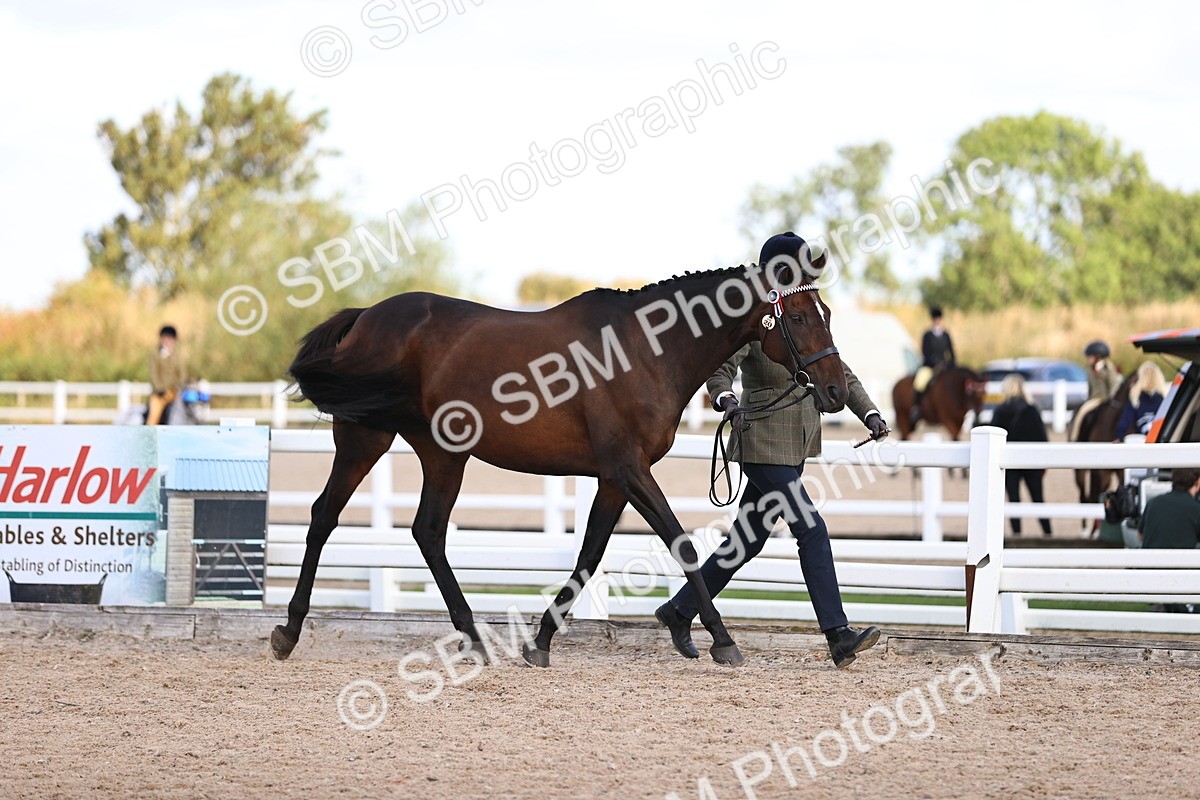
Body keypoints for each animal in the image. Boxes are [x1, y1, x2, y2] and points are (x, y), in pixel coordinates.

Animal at [270, 256, 848, 668]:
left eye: (827, 315)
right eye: (799, 317)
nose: (837, 391)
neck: (645, 349)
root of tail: (364, 317)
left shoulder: (613, 481)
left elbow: (589, 555)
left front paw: (541, 642)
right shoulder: (629, 470)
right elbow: (679, 543)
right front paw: (723, 641)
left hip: (441, 454)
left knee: (419, 531)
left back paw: (468, 638)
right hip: (365, 437)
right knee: (328, 518)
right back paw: (291, 632)